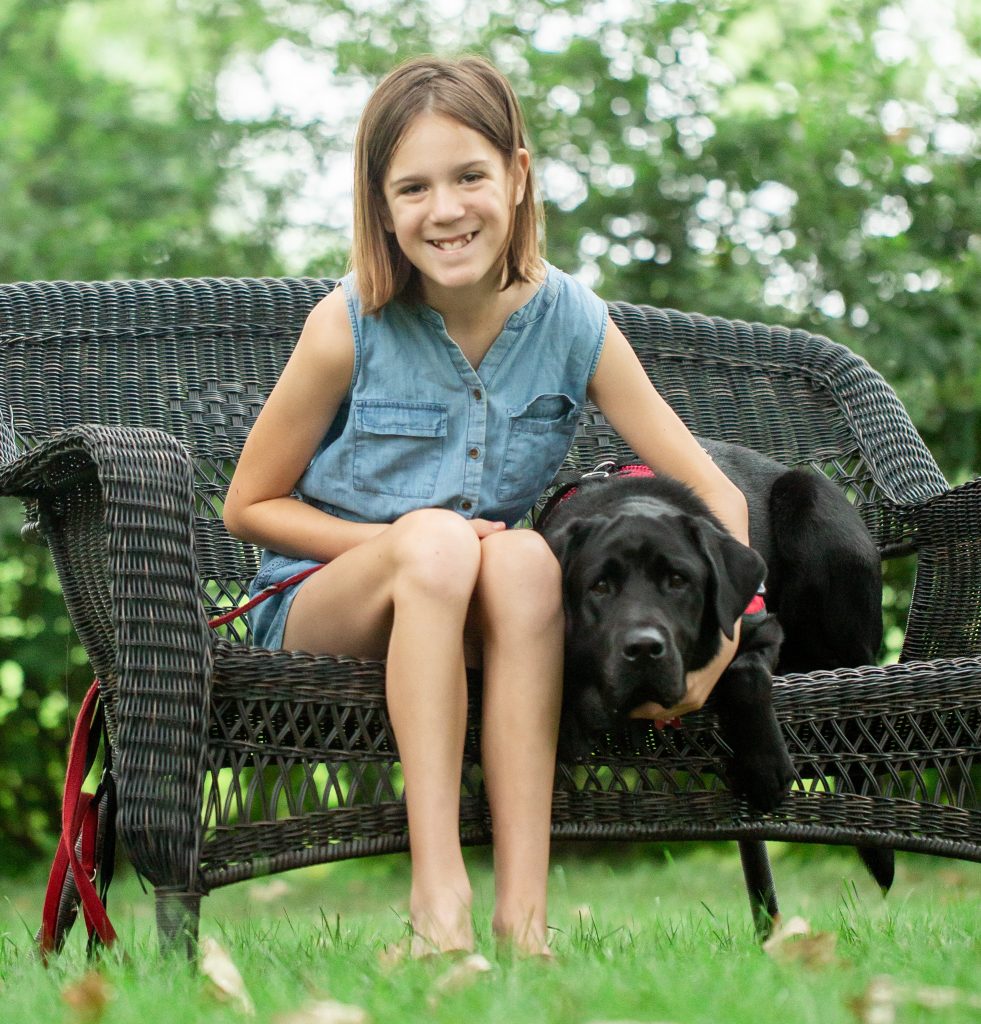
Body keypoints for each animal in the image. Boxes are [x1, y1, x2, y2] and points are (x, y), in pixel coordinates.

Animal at [540, 440, 888, 815]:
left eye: (679, 580)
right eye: (600, 586)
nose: (644, 648)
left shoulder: (757, 625)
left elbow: (746, 675)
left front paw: (764, 767)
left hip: (810, 506)